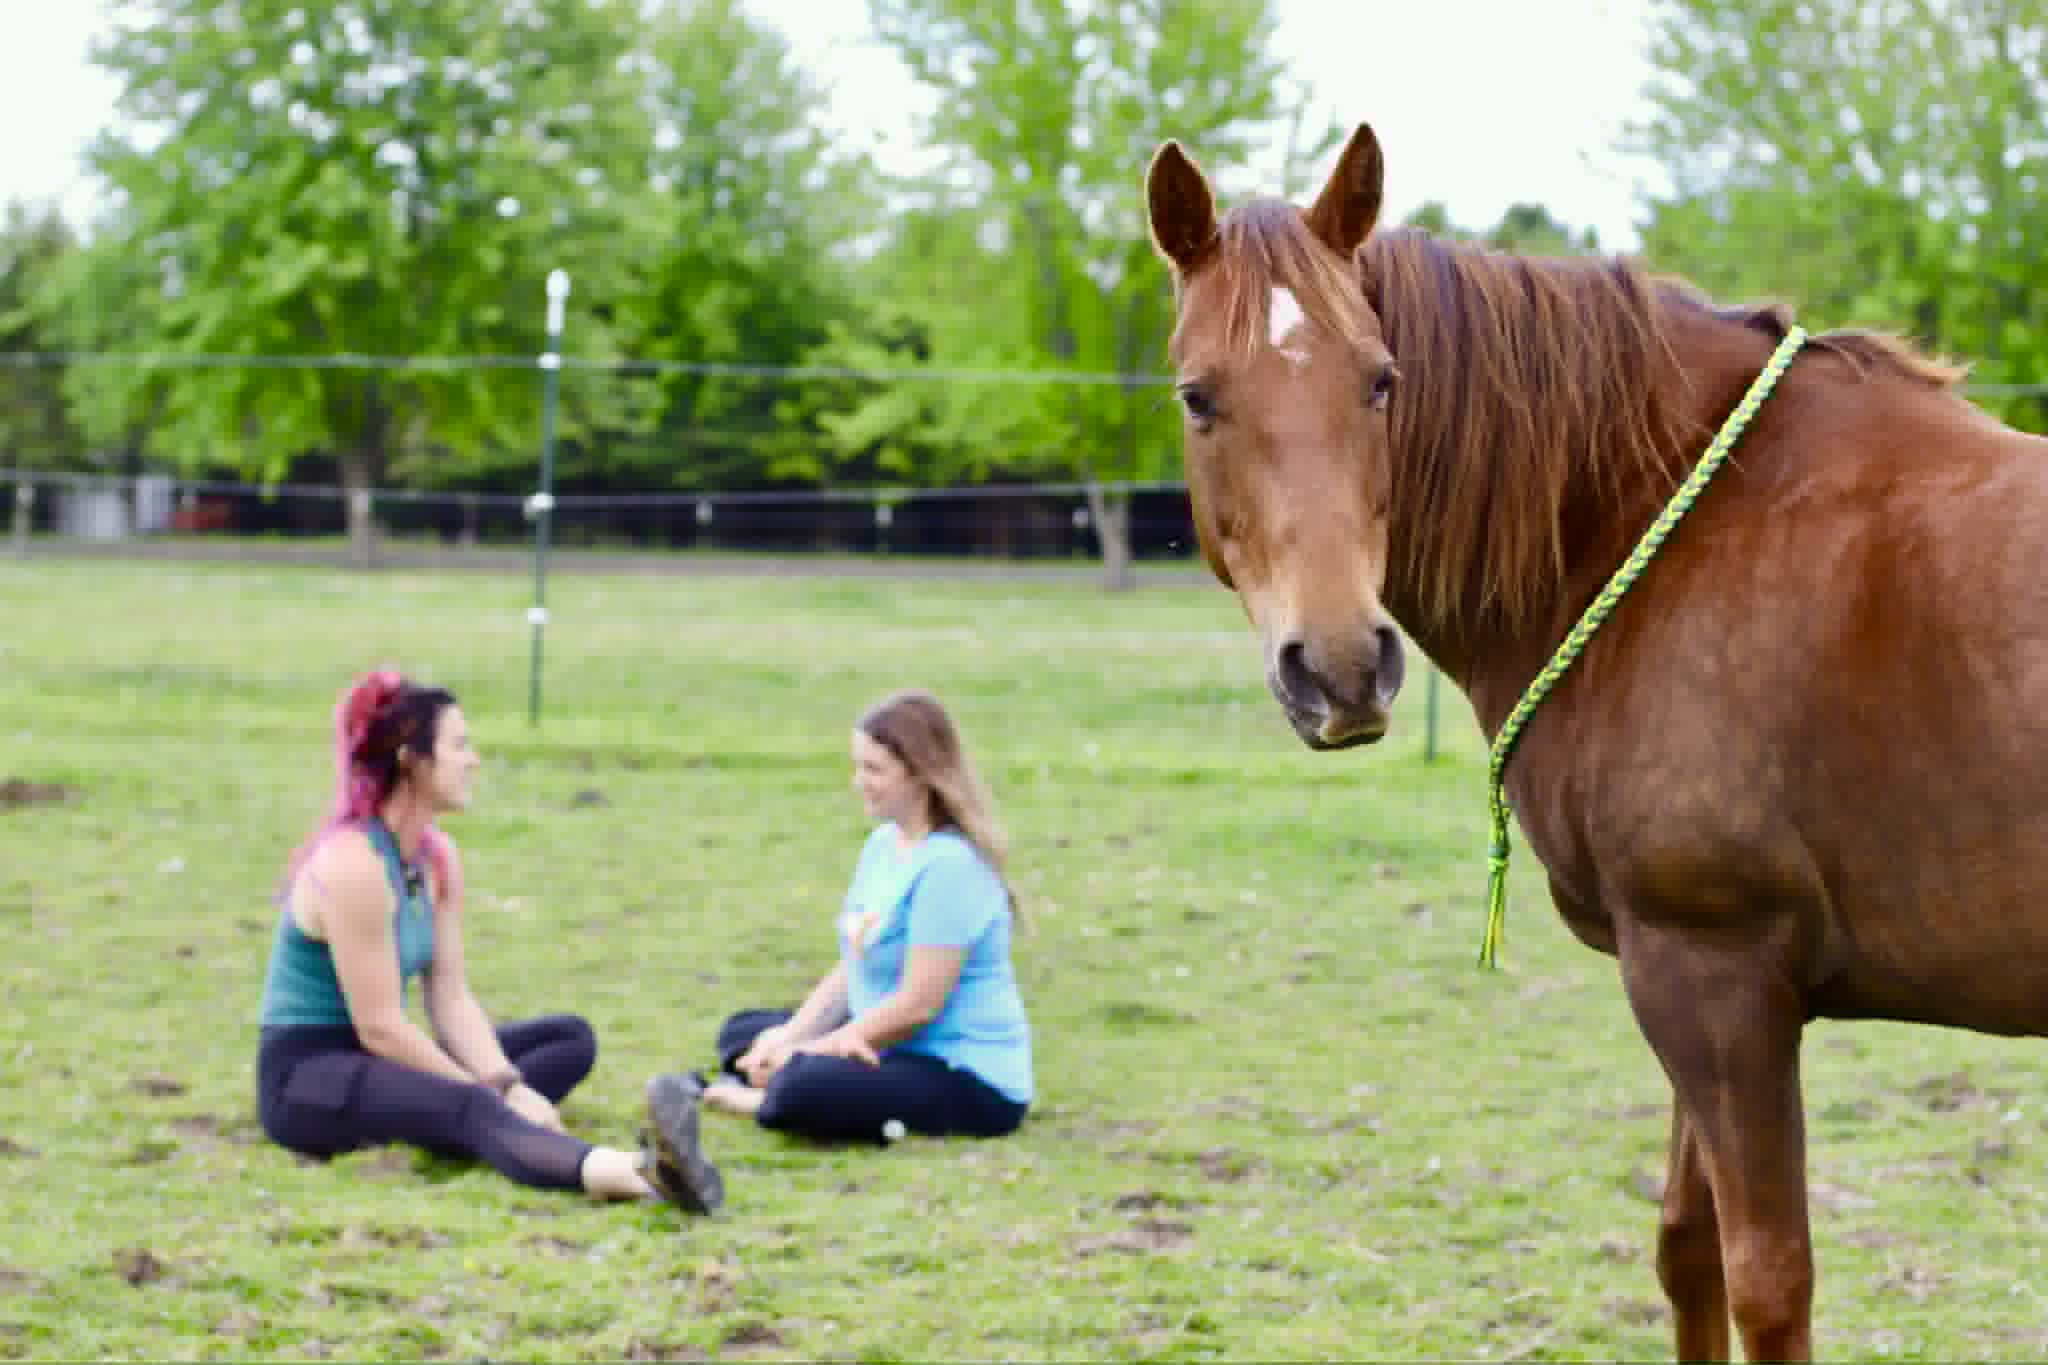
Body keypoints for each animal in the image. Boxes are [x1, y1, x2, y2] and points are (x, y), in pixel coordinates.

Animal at [1144, 120, 2048, 1362]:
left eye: (1379, 381)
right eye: (1198, 397)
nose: (1337, 668)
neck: (1664, 516)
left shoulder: (1710, 976)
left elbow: (1765, 1281)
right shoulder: (1696, 983)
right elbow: (1685, 1253)